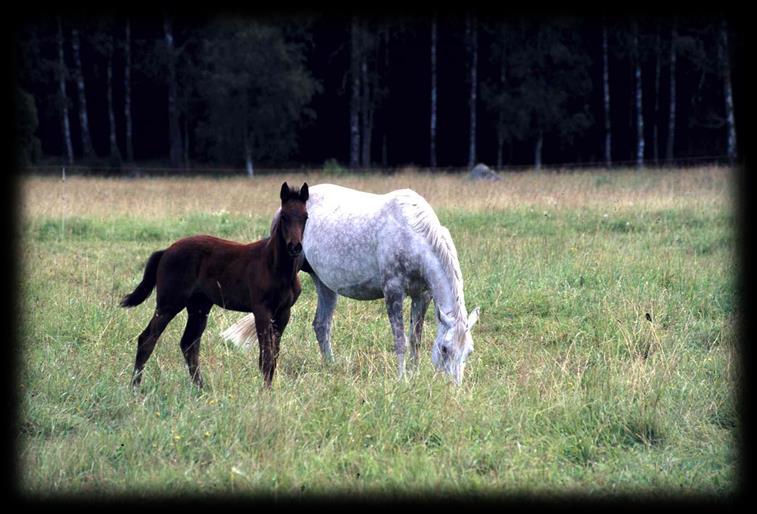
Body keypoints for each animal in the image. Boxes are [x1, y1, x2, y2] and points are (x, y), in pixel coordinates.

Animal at [220, 182, 478, 382]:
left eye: (469, 351)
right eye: (445, 348)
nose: (453, 387)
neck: (412, 233)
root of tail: (281, 210)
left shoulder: (421, 295)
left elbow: (416, 339)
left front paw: (414, 376)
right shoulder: (393, 291)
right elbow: (401, 340)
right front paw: (402, 380)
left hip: (324, 284)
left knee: (321, 325)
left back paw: (331, 366)